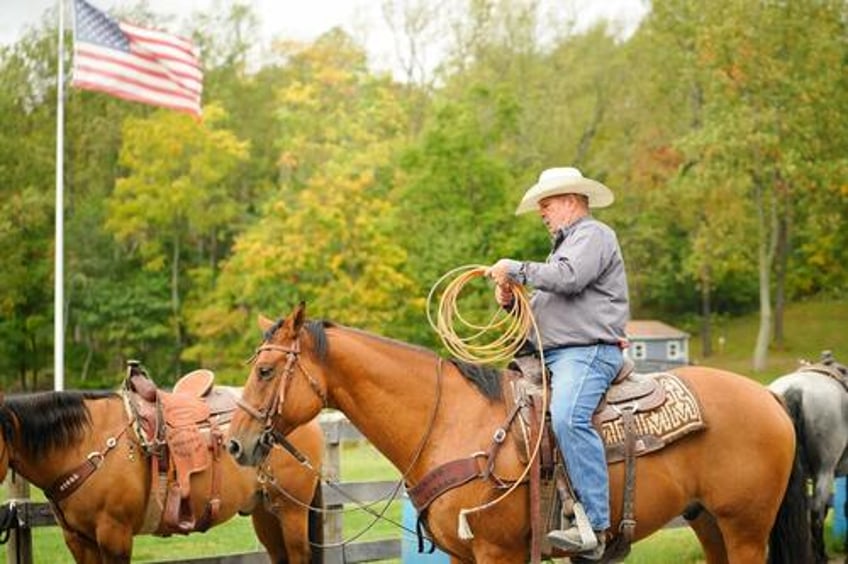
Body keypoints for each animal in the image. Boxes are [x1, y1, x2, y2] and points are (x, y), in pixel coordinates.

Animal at [229, 304, 812, 564]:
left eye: (265, 371)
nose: (236, 443)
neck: (450, 422)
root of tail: (768, 397)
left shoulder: (499, 553)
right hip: (707, 521)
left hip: (745, 527)